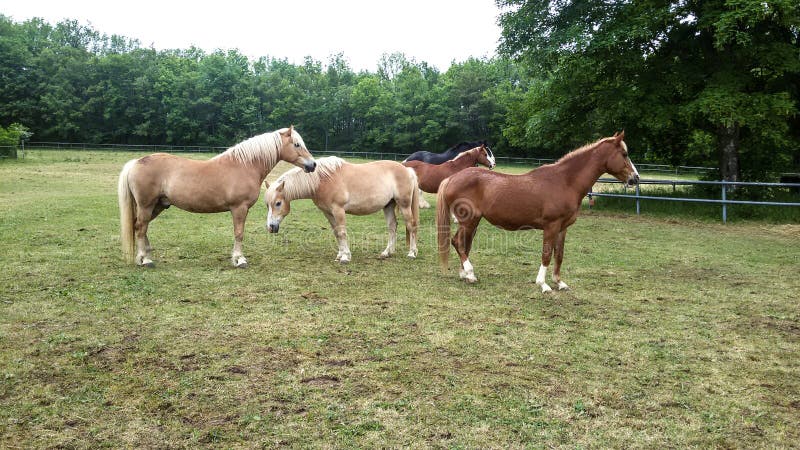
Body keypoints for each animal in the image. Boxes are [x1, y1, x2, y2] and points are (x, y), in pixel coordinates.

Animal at [118, 126, 316, 268]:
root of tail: (136, 162)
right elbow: (239, 233)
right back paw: (145, 260)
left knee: (140, 227)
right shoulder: (239, 208)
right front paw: (240, 260)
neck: (245, 165)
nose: (313, 165)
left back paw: (145, 256)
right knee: (140, 228)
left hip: (158, 205)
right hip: (146, 205)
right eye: (297, 145)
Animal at [268, 156, 422, 264]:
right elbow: (336, 233)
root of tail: (407, 170)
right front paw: (340, 254)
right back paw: (387, 252)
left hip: (404, 205)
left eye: (278, 203)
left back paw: (412, 253)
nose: (271, 227)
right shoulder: (328, 212)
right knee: (392, 227)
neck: (322, 180)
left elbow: (342, 232)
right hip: (389, 205)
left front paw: (345, 257)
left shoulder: (338, 210)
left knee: (411, 226)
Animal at [434, 131, 640, 292]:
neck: (564, 181)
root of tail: (452, 178)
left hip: (473, 222)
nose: (635, 178)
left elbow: (559, 254)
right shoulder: (551, 226)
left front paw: (559, 282)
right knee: (458, 242)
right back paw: (470, 274)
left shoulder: (562, 228)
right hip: (468, 220)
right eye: (624, 153)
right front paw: (543, 284)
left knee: (463, 243)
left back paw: (465, 275)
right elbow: (547, 254)